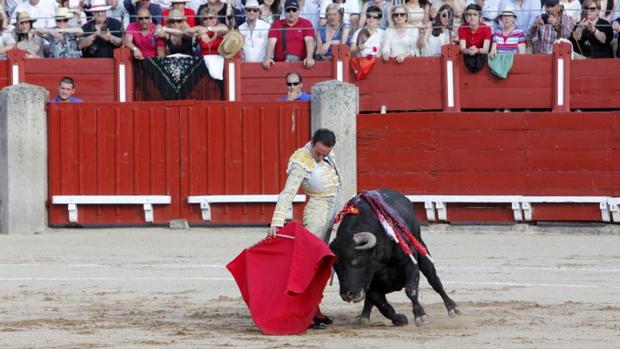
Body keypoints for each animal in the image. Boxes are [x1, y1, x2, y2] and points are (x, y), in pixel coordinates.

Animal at [332, 189, 458, 324]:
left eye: (355, 260)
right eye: (335, 267)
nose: (347, 294)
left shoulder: (410, 261)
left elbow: (411, 290)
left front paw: (420, 315)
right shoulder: (369, 284)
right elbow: (381, 304)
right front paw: (399, 319)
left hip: (421, 248)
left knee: (434, 280)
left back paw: (452, 308)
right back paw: (364, 316)